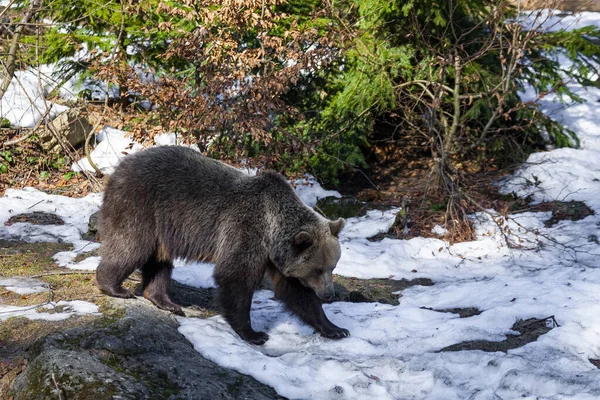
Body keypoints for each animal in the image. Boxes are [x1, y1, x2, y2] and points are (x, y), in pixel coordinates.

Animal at [96, 145, 350, 346]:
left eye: (332, 267)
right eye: (318, 269)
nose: (329, 294)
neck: (272, 229)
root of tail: (118, 168)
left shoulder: (277, 258)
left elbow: (296, 292)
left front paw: (336, 329)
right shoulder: (245, 229)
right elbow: (235, 276)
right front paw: (254, 333)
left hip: (162, 229)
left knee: (159, 262)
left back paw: (166, 301)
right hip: (141, 206)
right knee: (131, 246)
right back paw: (115, 287)